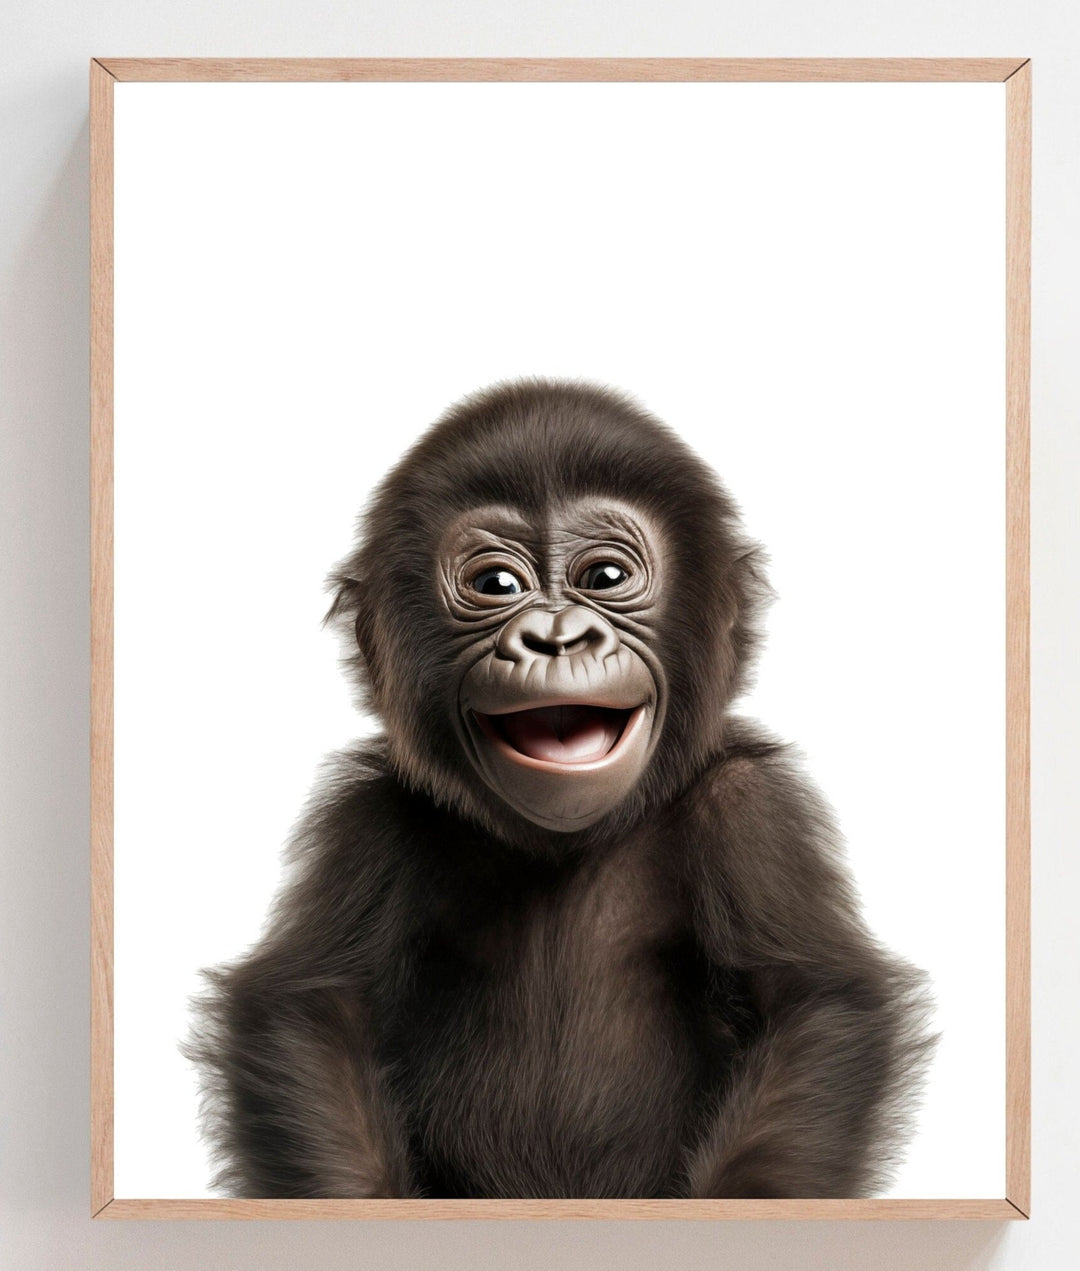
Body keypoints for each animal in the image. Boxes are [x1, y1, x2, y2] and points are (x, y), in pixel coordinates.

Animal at [188, 379, 933, 1200]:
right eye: (496, 585)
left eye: (605, 578)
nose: (555, 637)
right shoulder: (369, 819)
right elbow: (309, 1011)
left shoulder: (750, 809)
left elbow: (817, 1006)